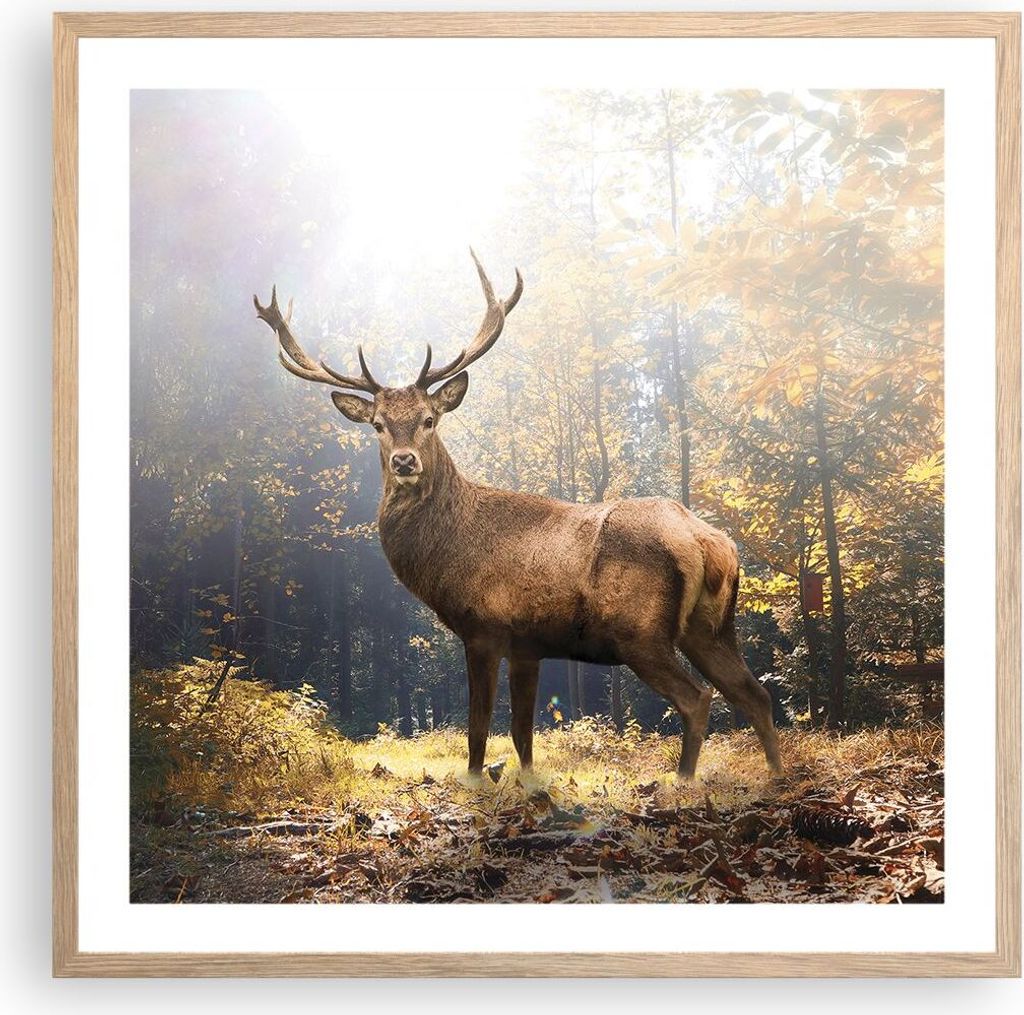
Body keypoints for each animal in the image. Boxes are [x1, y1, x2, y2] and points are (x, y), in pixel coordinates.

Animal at [253, 252, 782, 780]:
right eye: (378, 425)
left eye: (429, 419)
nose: (405, 461)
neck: (447, 555)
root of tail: (709, 541)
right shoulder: (529, 644)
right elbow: (523, 733)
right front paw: (527, 782)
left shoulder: (484, 627)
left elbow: (478, 727)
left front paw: (475, 782)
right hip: (710, 627)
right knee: (756, 693)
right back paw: (776, 774)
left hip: (640, 630)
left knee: (699, 698)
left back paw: (682, 780)